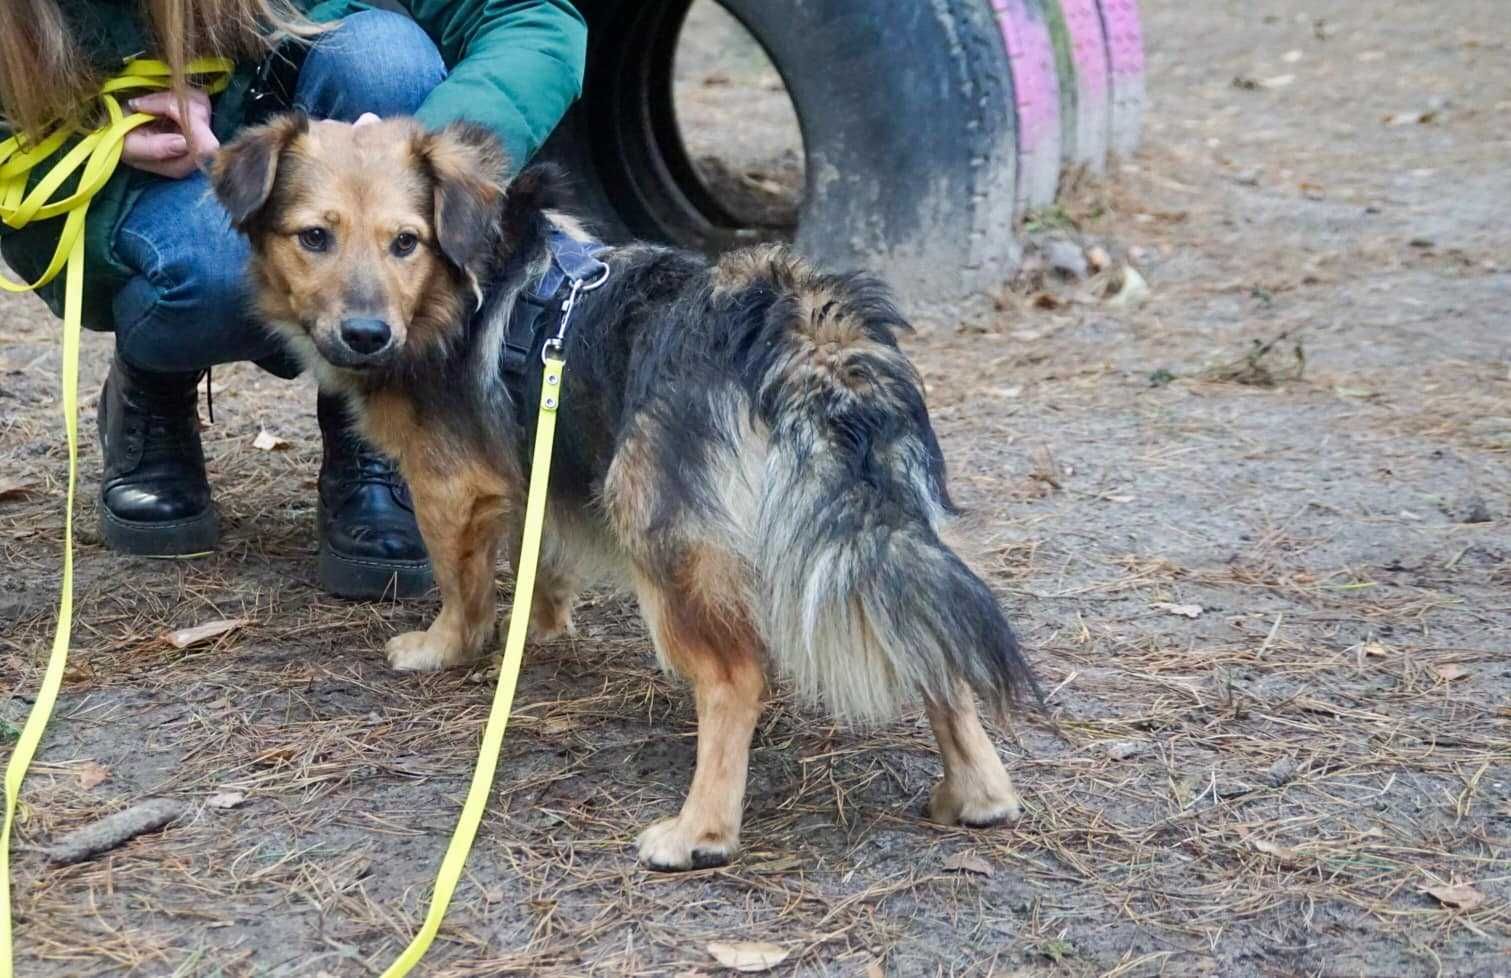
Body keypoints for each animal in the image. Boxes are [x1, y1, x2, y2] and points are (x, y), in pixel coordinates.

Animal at [213, 116, 1039, 870]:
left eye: (405, 242)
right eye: (314, 238)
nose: (366, 334)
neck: (466, 276)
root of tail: (800, 336)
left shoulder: (450, 486)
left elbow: (462, 585)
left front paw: (445, 647)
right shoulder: (538, 462)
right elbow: (543, 560)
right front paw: (541, 627)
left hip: (658, 537)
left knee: (735, 680)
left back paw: (699, 831)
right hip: (883, 534)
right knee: (934, 642)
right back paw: (976, 792)